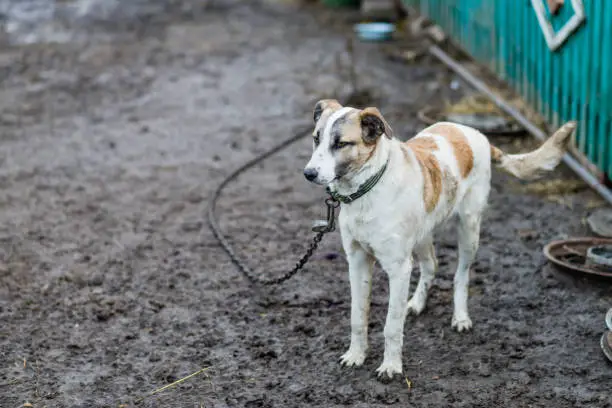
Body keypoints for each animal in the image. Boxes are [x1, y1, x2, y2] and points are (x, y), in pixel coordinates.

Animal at [304, 99, 576, 380]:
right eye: (316, 138)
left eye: (341, 144)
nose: (308, 173)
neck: (367, 189)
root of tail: (476, 134)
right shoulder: (357, 261)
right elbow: (357, 317)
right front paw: (356, 355)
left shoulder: (398, 268)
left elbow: (392, 325)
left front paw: (391, 366)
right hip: (423, 234)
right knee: (431, 265)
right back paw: (417, 303)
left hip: (469, 229)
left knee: (461, 275)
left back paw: (460, 317)